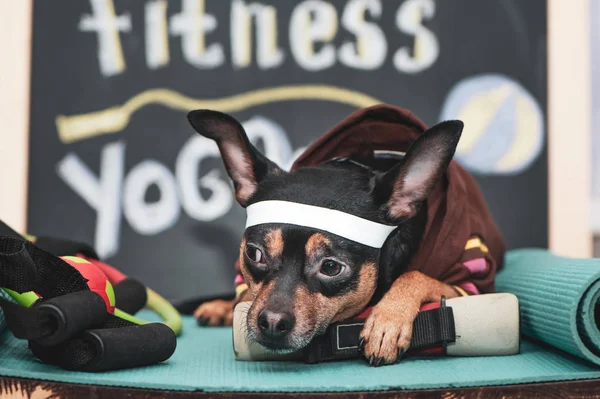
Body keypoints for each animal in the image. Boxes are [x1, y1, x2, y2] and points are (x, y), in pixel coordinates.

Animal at [189, 104, 506, 368]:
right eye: (254, 253)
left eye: (331, 267)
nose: (272, 322)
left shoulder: (470, 284)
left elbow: (415, 275)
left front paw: (387, 321)